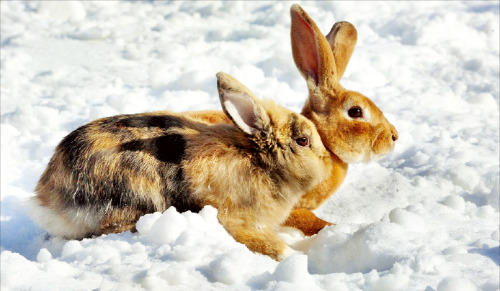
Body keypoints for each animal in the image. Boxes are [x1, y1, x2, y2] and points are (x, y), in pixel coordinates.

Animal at [31, 72, 330, 262]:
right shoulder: (237, 220)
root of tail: (48, 199)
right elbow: (267, 243)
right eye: (303, 141)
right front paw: (296, 255)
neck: (258, 160)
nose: (326, 162)